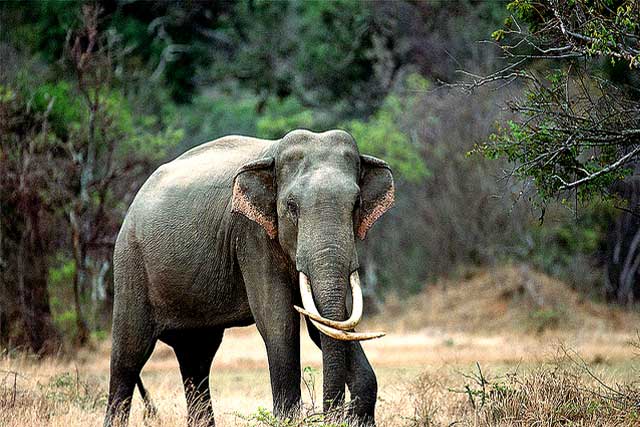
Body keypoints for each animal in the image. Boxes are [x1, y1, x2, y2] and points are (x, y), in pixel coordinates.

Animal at [104, 130, 396, 427]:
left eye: (357, 205)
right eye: (291, 207)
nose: (332, 415)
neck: (273, 153)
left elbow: (325, 324)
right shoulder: (251, 235)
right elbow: (278, 320)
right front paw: (287, 419)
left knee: (196, 357)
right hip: (130, 264)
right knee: (128, 356)